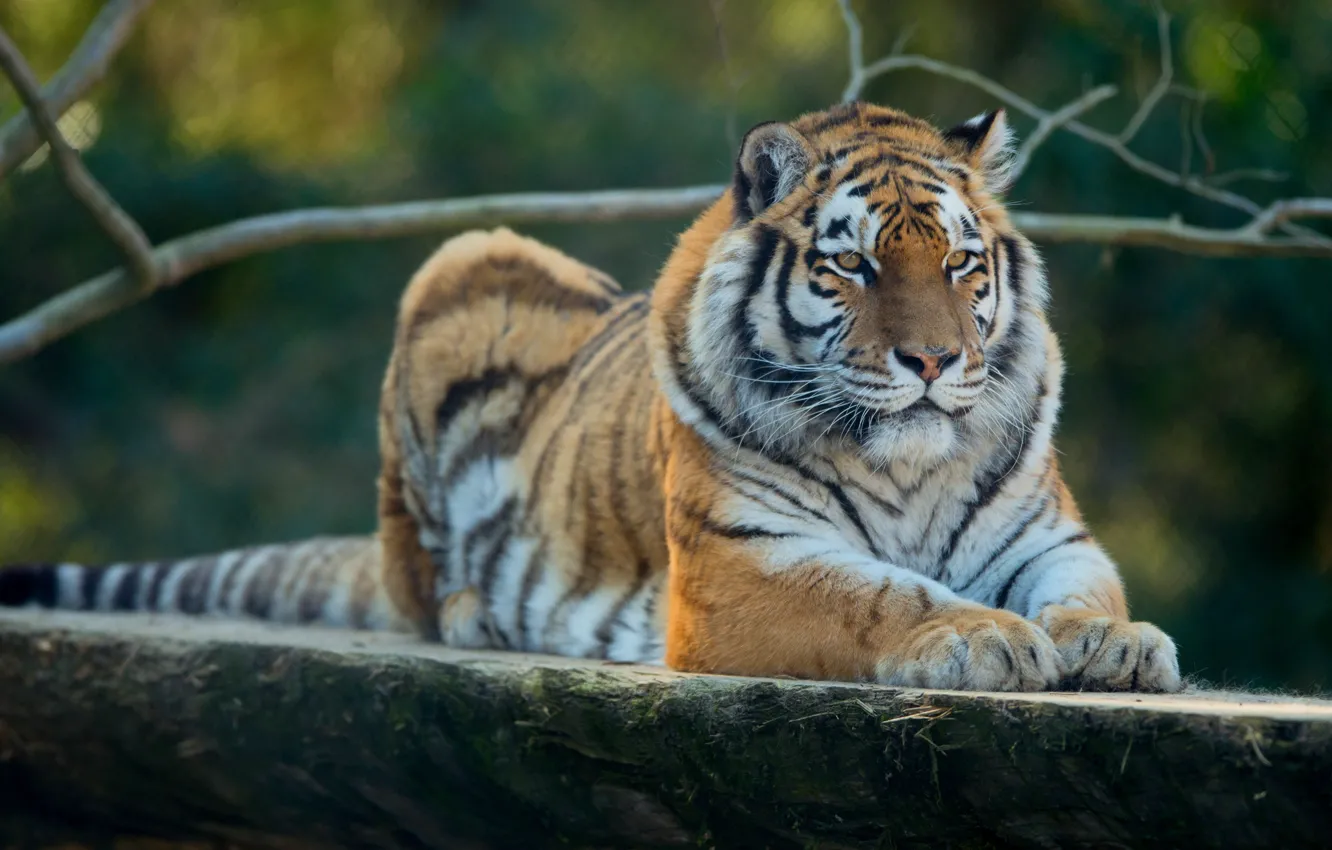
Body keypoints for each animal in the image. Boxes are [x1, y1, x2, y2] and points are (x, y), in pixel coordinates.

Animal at [0, 101, 1181, 693]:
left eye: (960, 264)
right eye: (854, 266)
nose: (932, 363)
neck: (908, 464)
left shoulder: (1051, 538)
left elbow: (1085, 594)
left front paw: (1116, 646)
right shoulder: (744, 567)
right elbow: (885, 594)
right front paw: (983, 638)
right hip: (463, 259)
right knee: (419, 583)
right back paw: (472, 609)